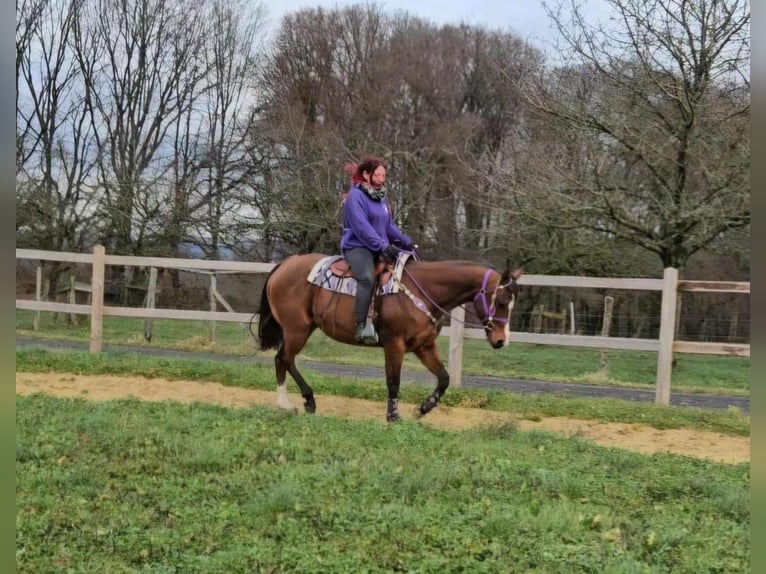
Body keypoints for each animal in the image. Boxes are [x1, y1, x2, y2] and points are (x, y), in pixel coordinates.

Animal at [257, 252, 522, 422]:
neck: (421, 291)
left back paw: (302, 401)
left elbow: (444, 378)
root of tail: (284, 265)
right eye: (500, 301)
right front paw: (393, 416)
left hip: (301, 329)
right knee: (283, 359)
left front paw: (423, 409)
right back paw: (291, 403)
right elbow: (393, 381)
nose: (501, 341)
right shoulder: (394, 345)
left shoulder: (424, 346)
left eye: (512, 304)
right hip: (297, 330)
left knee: (284, 360)